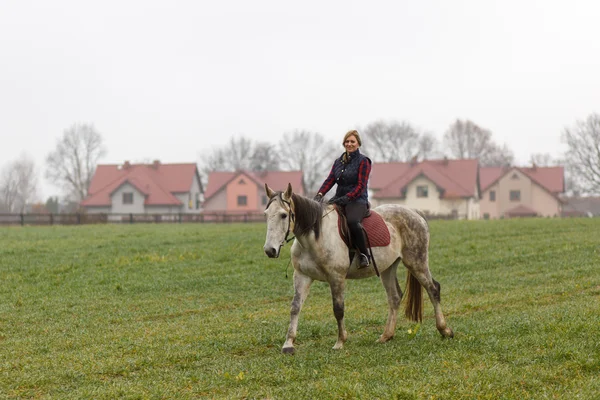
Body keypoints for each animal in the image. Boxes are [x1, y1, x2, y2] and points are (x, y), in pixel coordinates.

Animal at [262, 183, 454, 354]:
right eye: (266, 214)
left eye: (283, 215)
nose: (270, 250)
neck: (315, 238)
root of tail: (415, 212)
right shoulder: (302, 276)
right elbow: (295, 308)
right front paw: (288, 344)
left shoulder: (336, 277)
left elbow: (338, 309)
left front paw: (340, 342)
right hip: (388, 268)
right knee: (394, 297)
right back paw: (386, 336)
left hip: (416, 262)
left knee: (433, 289)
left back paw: (444, 330)